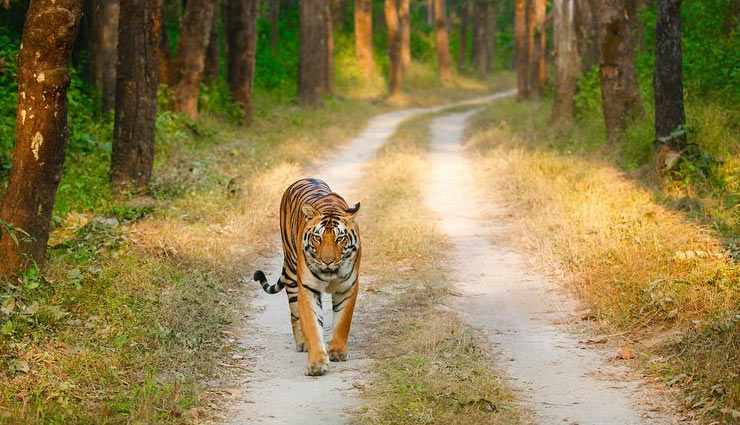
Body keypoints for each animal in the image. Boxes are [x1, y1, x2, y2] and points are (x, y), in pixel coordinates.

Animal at [253, 178, 361, 376]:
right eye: (317, 238)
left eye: (340, 239)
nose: (327, 261)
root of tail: (302, 179)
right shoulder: (308, 288)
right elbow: (312, 325)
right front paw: (316, 363)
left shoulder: (348, 287)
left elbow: (343, 321)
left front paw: (338, 351)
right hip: (291, 272)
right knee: (295, 314)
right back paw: (302, 343)